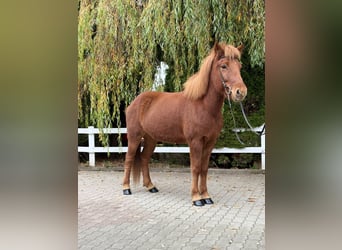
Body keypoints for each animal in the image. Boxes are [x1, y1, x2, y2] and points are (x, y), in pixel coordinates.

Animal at [121, 43, 247, 206]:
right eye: (224, 66)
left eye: (239, 66)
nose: (241, 92)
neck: (203, 106)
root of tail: (135, 102)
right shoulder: (195, 142)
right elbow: (195, 168)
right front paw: (196, 198)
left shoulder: (210, 142)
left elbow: (204, 169)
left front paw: (206, 196)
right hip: (134, 137)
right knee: (129, 159)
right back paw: (126, 188)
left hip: (151, 139)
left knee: (144, 158)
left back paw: (151, 186)